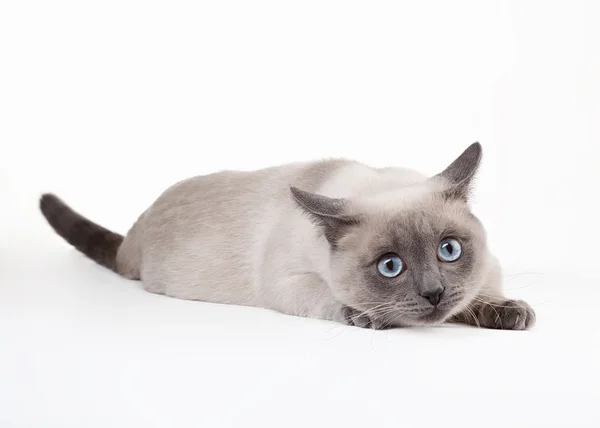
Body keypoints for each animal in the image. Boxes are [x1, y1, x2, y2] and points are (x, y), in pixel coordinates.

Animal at [39, 144, 536, 332]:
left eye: (449, 250)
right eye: (391, 266)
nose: (433, 293)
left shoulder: (483, 272)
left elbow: (481, 293)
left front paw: (509, 312)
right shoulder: (288, 282)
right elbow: (334, 301)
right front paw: (369, 317)